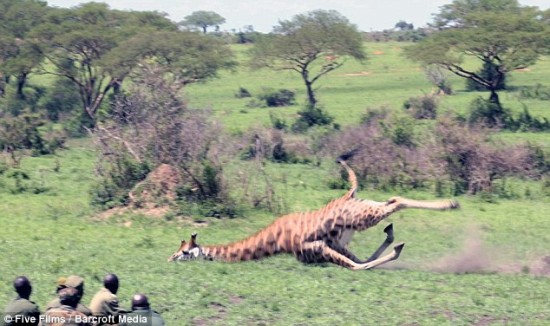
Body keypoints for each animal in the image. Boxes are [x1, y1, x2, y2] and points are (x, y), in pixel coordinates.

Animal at [169, 153, 462, 270]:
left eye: (183, 252)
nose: (168, 259)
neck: (275, 242)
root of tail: (349, 193)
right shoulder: (332, 246)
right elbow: (363, 260)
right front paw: (393, 245)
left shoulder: (315, 249)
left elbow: (358, 266)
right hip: (362, 211)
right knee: (389, 204)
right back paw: (394, 233)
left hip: (362, 217)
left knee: (396, 201)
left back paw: (451, 204)